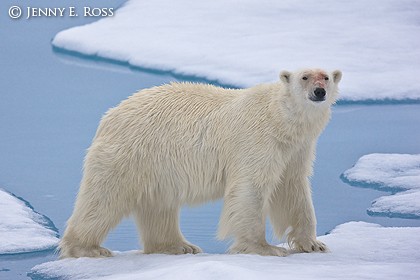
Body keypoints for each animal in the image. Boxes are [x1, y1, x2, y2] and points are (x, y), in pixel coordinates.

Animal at [59, 68, 342, 258]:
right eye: (304, 77)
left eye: (326, 77)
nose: (319, 92)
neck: (279, 118)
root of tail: (109, 116)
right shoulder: (257, 140)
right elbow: (251, 188)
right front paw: (264, 247)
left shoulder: (296, 149)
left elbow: (292, 187)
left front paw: (313, 244)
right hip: (128, 154)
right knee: (104, 198)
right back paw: (88, 248)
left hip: (154, 165)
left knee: (158, 206)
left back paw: (178, 246)